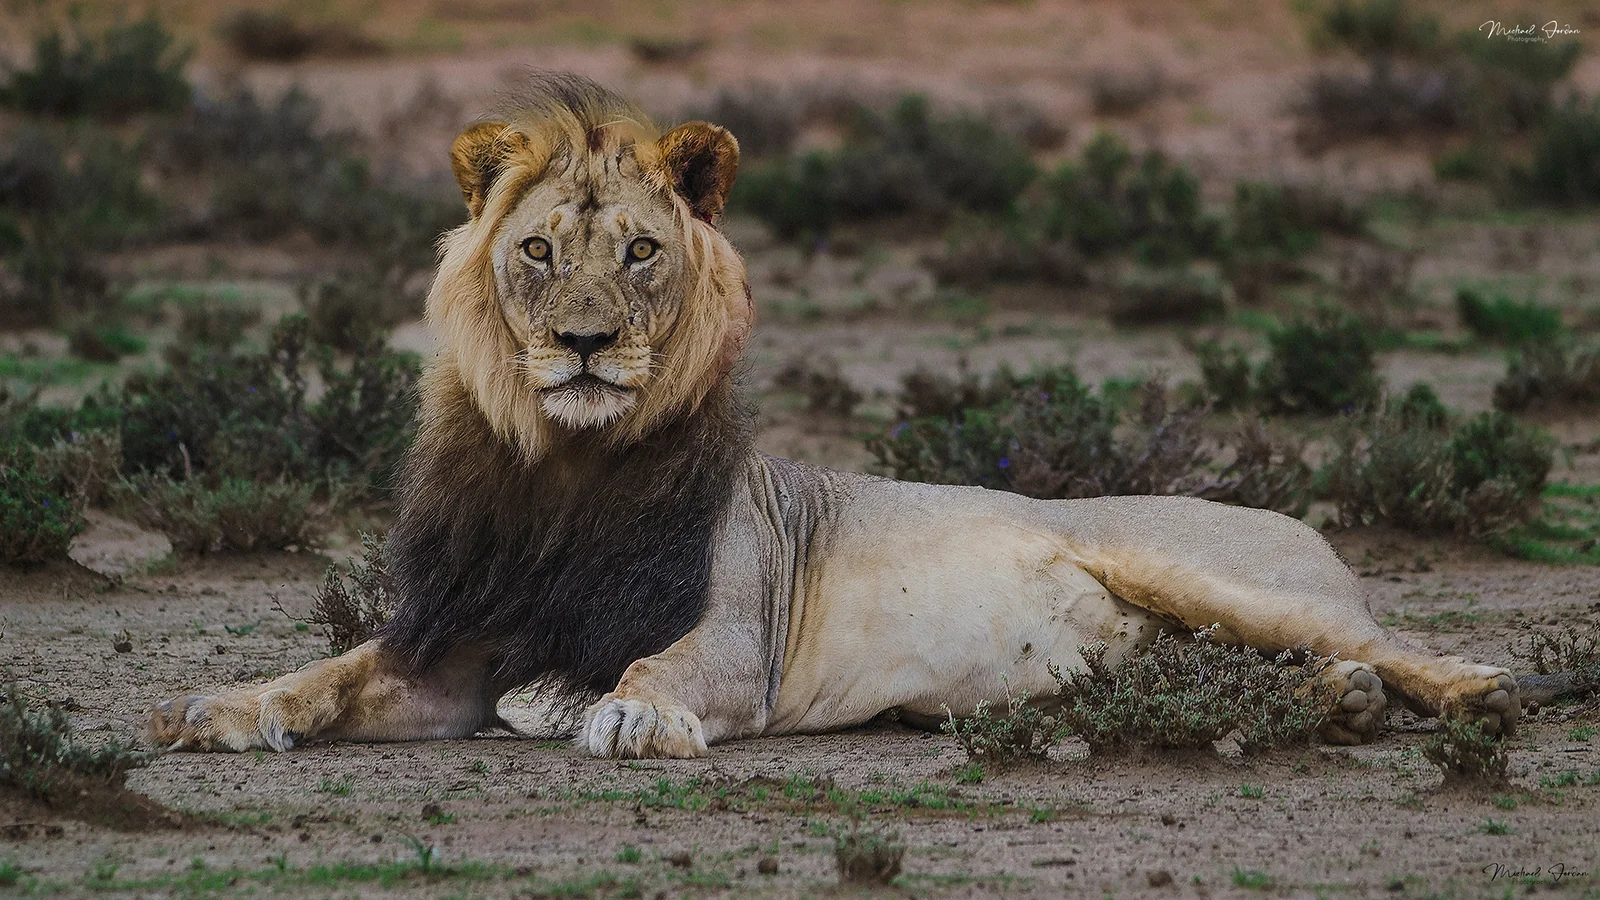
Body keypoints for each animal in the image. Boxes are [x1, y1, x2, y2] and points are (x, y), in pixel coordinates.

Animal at [148, 74, 1520, 759]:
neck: (567, 467)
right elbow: (332, 673)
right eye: (537, 249)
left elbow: (656, 669)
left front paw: (629, 715)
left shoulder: (734, 641)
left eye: (641, 250)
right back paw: (1338, 709)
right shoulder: (459, 644)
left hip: (1210, 573)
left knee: (1393, 645)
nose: (585, 342)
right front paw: (215, 710)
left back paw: (1475, 694)